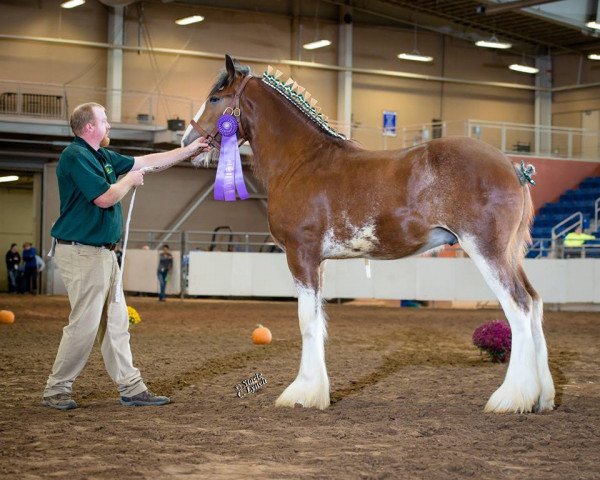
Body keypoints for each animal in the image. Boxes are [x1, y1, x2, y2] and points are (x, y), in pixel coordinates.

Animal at [182, 53, 552, 412]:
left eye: (215, 98)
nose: (188, 140)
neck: (302, 162)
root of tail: (514, 168)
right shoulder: (318, 261)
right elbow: (318, 320)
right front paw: (316, 391)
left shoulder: (301, 254)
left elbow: (306, 321)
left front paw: (302, 393)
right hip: (510, 255)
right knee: (534, 303)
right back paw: (542, 398)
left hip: (487, 251)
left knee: (518, 306)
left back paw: (511, 398)